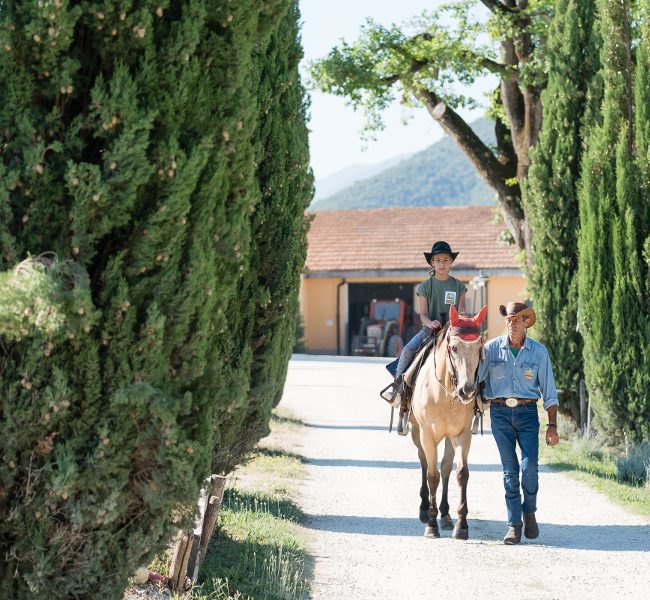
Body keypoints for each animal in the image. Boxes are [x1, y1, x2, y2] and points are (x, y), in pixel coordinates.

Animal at [408, 304, 484, 540]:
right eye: (454, 348)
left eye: (480, 347)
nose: (467, 391)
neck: (445, 393)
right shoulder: (427, 434)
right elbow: (432, 475)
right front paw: (431, 525)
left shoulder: (462, 435)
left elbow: (461, 473)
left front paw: (461, 525)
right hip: (417, 433)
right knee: (424, 462)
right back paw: (425, 509)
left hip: (449, 437)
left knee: (446, 467)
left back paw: (446, 514)